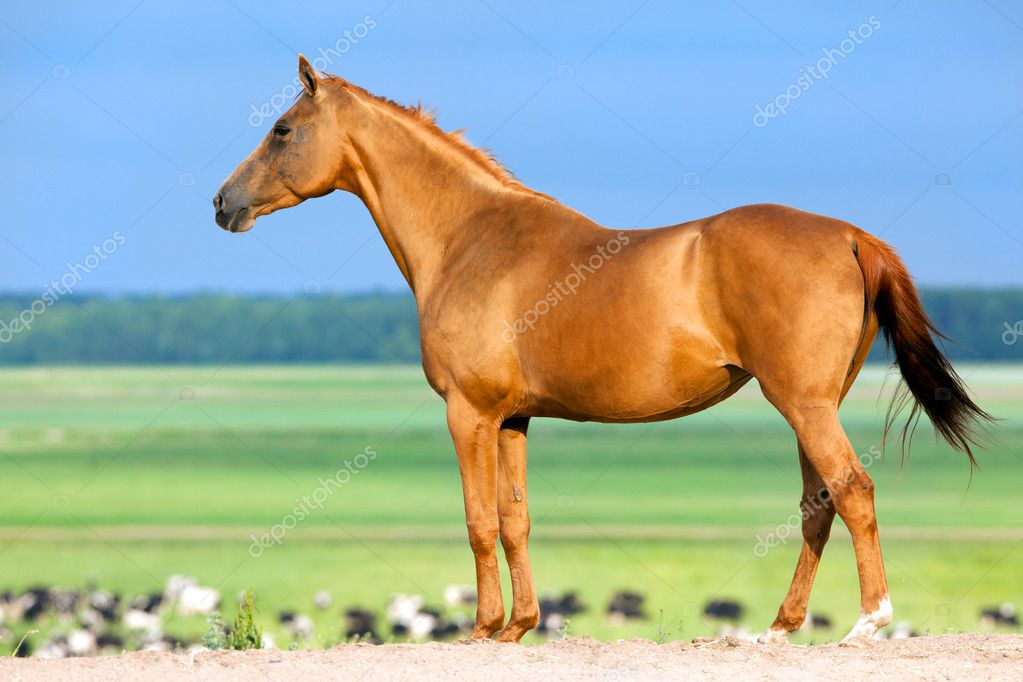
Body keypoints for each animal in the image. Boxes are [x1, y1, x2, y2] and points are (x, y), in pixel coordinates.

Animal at [214, 55, 991, 646]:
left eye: (282, 129)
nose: (223, 204)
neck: (472, 238)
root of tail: (850, 235)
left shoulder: (468, 414)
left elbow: (477, 521)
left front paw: (481, 628)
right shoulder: (512, 419)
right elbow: (515, 519)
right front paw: (518, 627)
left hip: (803, 404)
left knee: (852, 491)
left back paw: (869, 623)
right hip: (811, 405)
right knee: (817, 503)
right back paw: (779, 627)